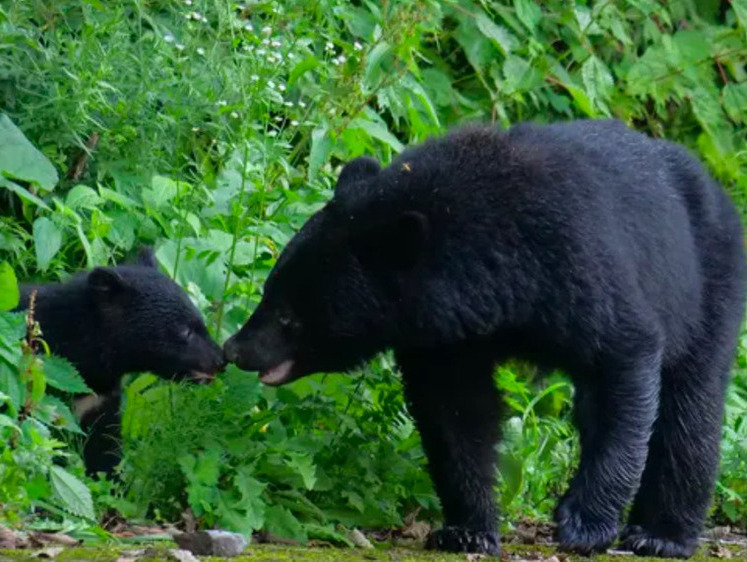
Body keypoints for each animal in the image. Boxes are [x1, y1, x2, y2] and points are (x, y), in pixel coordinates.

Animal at [224, 119, 747, 556]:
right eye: (269, 288)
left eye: (289, 315)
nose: (235, 348)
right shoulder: (447, 338)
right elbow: (456, 413)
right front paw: (466, 529)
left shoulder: (582, 266)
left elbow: (621, 369)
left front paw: (584, 523)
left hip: (708, 283)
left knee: (690, 408)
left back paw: (661, 535)